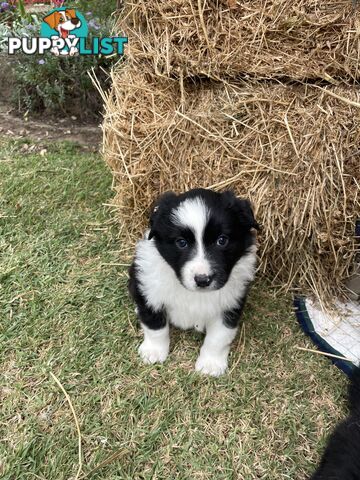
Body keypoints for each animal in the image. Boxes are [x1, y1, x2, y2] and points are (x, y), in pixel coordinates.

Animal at [128, 189, 258, 376]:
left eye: (222, 240)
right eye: (181, 243)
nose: (203, 280)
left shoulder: (231, 304)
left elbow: (219, 336)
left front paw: (211, 363)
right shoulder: (150, 291)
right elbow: (155, 326)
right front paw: (154, 351)